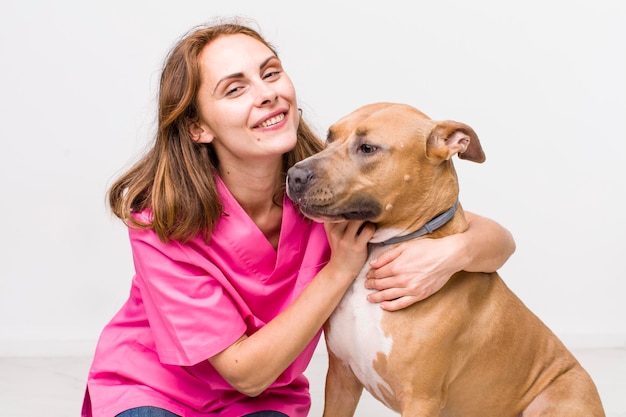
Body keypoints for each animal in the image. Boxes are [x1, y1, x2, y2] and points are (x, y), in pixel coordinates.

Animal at [286, 101, 604, 416]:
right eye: (329, 137)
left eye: (367, 148)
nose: (294, 175)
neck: (383, 247)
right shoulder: (341, 379)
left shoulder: (420, 398)